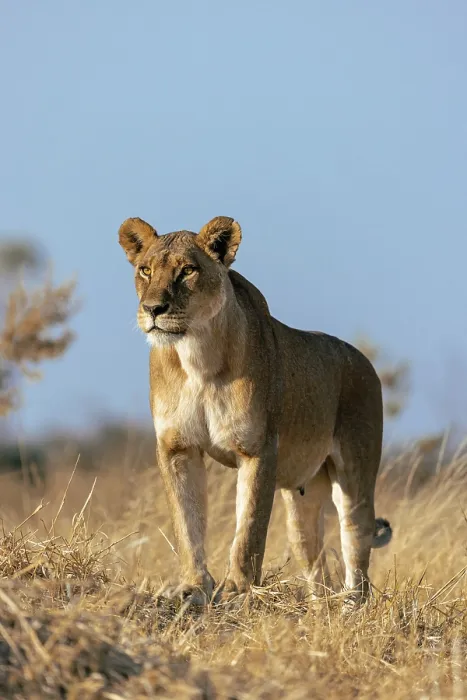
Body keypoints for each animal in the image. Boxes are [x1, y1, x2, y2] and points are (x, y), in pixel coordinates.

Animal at [118, 215, 392, 606]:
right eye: (145, 270)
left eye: (187, 271)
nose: (153, 309)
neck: (197, 356)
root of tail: (365, 362)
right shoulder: (177, 447)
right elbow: (187, 522)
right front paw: (193, 586)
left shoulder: (258, 447)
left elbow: (249, 528)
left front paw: (238, 589)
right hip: (303, 497)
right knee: (314, 558)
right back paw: (319, 606)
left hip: (355, 474)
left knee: (356, 543)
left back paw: (351, 605)